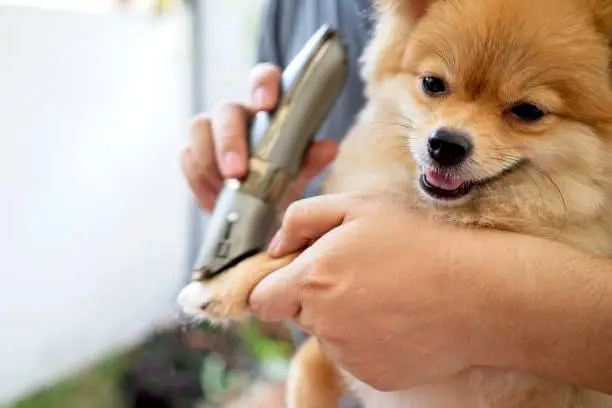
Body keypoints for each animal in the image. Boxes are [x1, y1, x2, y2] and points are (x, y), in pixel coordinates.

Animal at [177, 0, 612, 406]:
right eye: (433, 84)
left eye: (528, 111)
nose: (445, 144)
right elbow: (307, 364)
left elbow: (307, 246)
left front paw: (220, 285)